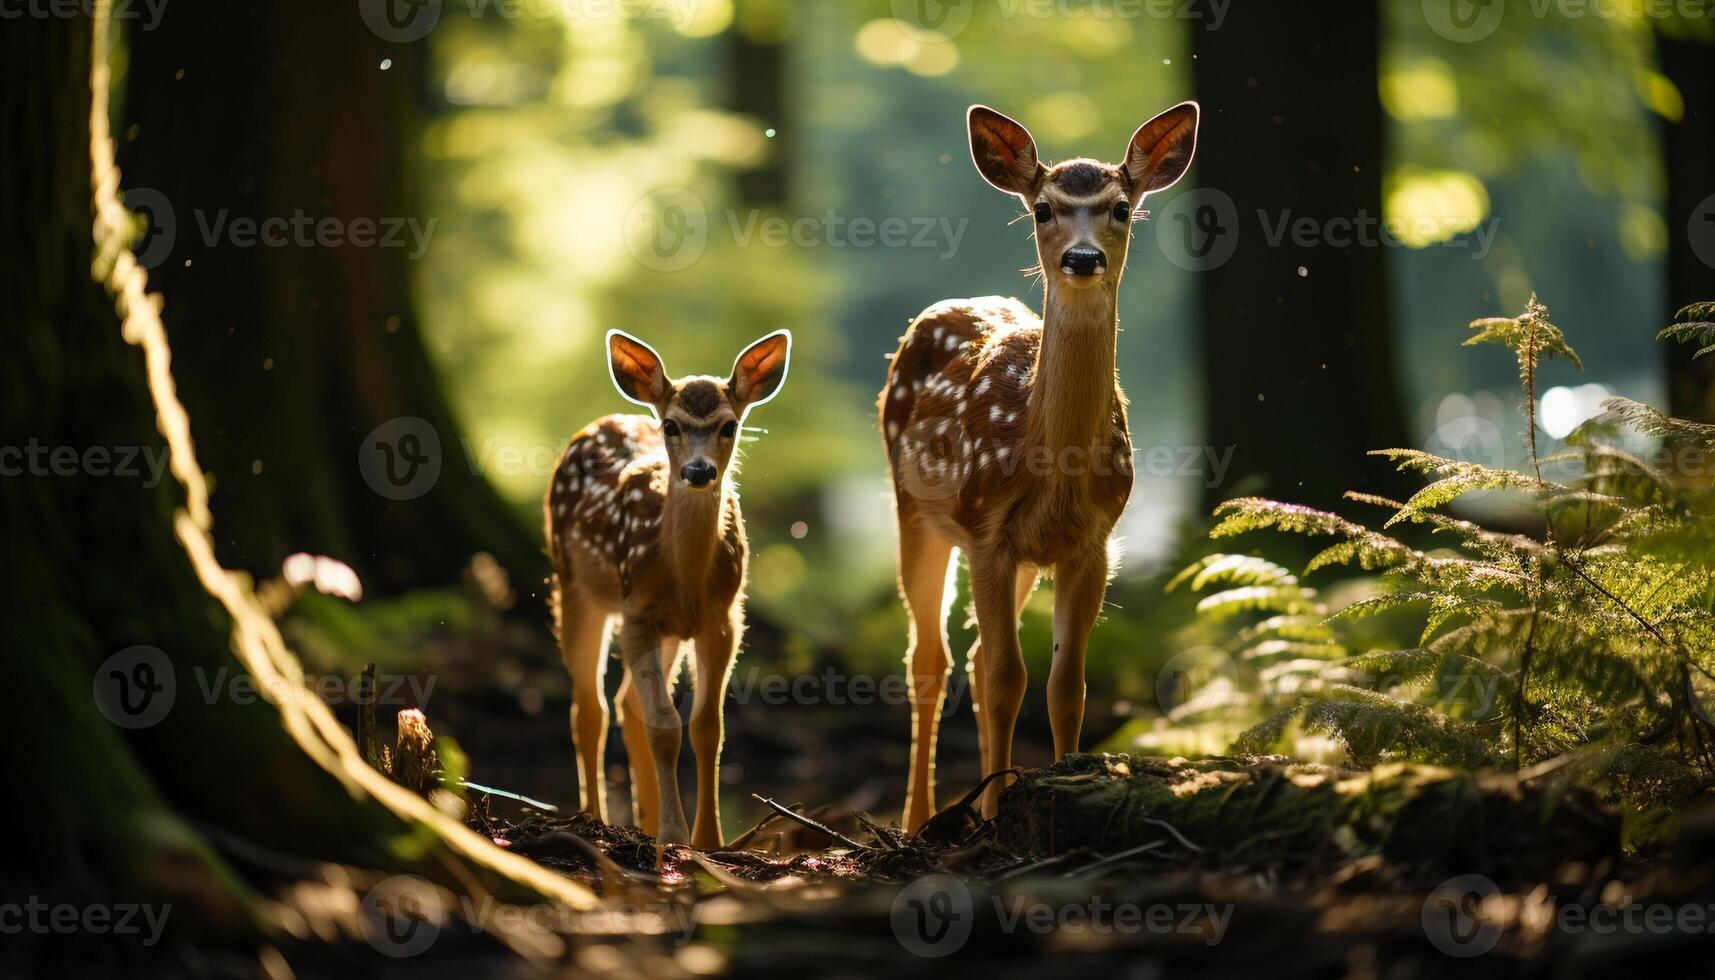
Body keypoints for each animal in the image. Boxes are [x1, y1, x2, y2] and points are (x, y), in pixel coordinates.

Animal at [545, 329, 792, 851]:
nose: (698, 472)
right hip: (573, 584)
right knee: (589, 708)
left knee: (625, 704)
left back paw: (643, 822)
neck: (686, 579)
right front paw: (675, 838)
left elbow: (706, 726)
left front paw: (709, 841)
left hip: (670, 630)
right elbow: (664, 726)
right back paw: (594, 819)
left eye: (729, 425)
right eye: (672, 425)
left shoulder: (723, 620)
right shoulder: (637, 612)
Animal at [878, 101, 1200, 827]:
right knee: (930, 658)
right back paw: (920, 819)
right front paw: (997, 813)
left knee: (969, 656)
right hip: (915, 509)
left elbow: (1064, 684)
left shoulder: (1092, 543)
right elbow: (1006, 680)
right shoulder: (986, 531)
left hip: (1019, 555)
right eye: (1044, 208)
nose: (1082, 258)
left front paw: (1066, 784)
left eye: (1120, 207)